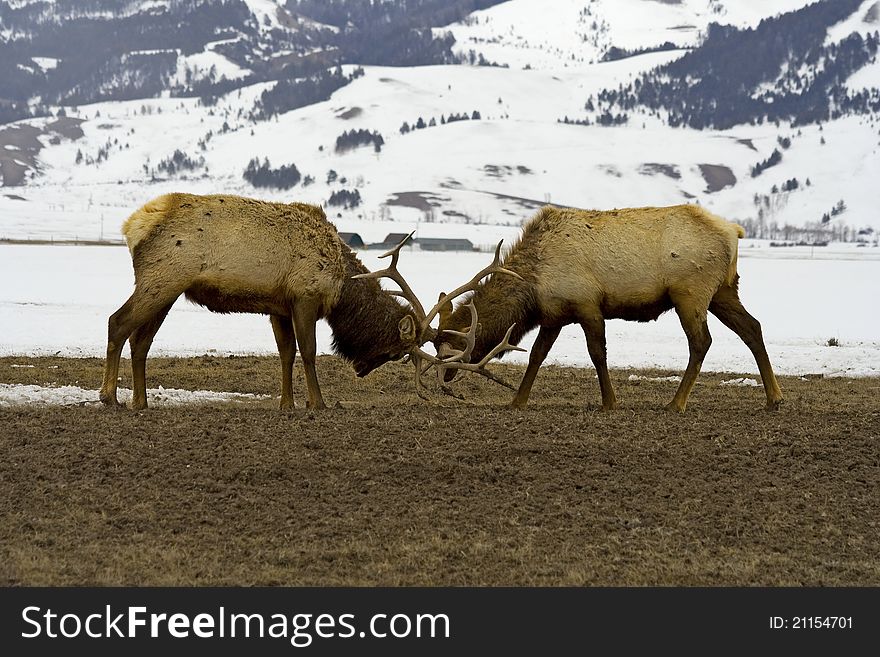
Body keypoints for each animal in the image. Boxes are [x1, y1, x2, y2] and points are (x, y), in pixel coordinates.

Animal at [99, 192, 482, 410]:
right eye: (395, 350)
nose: (360, 369)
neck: (341, 284)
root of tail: (132, 226)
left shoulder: (278, 307)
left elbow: (286, 353)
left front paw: (287, 404)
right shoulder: (305, 296)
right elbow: (308, 352)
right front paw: (318, 403)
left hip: (168, 290)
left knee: (141, 341)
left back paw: (141, 402)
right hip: (162, 280)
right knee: (117, 323)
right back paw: (109, 396)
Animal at [434, 202, 784, 412]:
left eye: (450, 345)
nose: (445, 380)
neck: (532, 287)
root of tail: (734, 233)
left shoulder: (587, 304)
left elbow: (597, 353)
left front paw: (610, 402)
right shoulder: (554, 315)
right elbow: (536, 355)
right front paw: (517, 400)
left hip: (690, 292)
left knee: (701, 342)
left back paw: (676, 403)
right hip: (723, 291)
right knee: (753, 328)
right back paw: (774, 398)